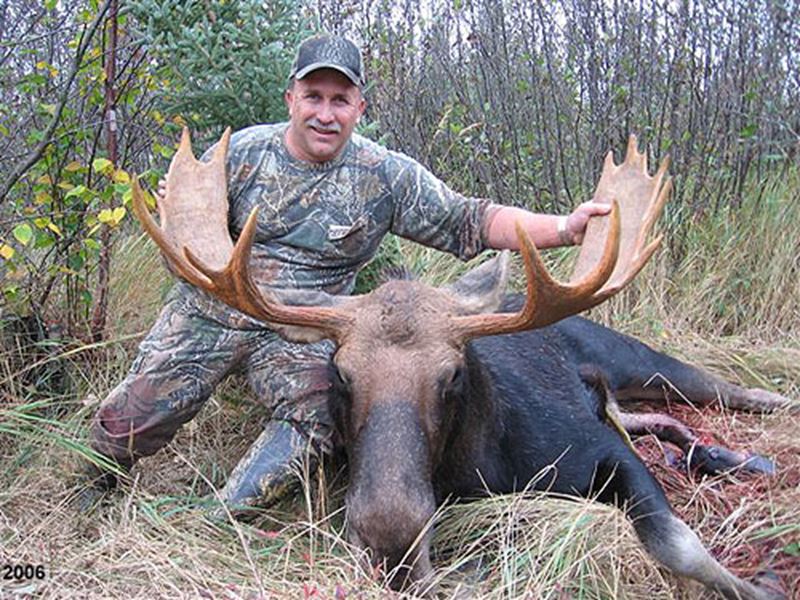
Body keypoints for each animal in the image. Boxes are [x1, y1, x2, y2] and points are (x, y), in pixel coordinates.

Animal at [131, 129, 788, 599]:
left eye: (453, 375)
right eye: (341, 374)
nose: (391, 537)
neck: (484, 465)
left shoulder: (600, 450)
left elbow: (679, 545)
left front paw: (762, 583)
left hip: (632, 358)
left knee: (714, 388)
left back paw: (772, 411)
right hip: (620, 398)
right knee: (658, 423)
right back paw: (732, 457)